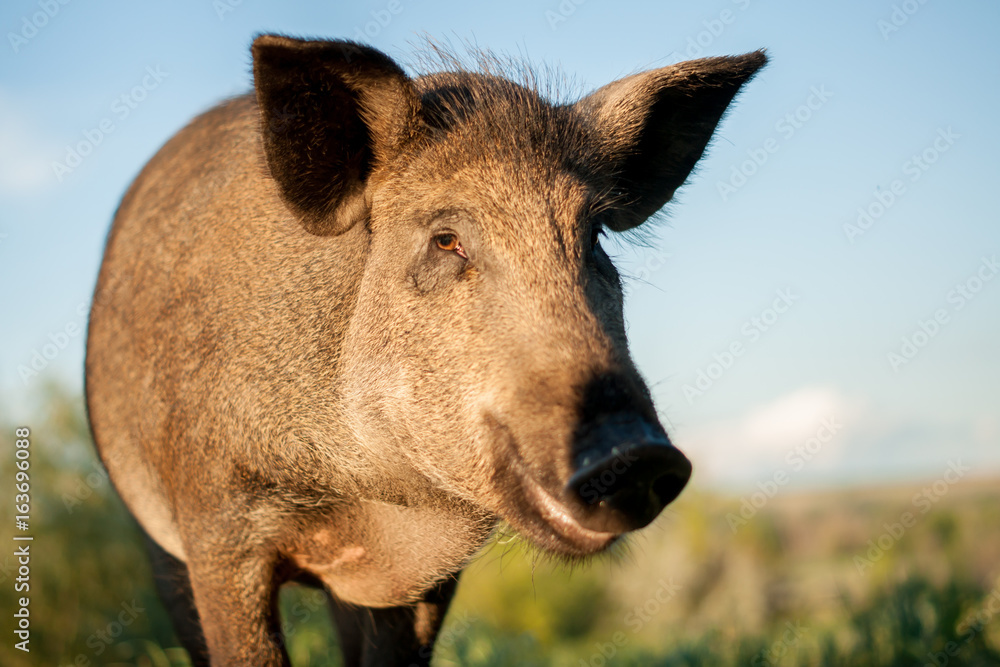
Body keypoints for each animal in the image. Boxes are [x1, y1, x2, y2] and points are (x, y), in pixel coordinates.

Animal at [85, 34, 765, 666]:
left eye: (593, 233)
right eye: (445, 240)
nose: (638, 454)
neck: (372, 503)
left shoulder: (432, 575)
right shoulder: (218, 528)